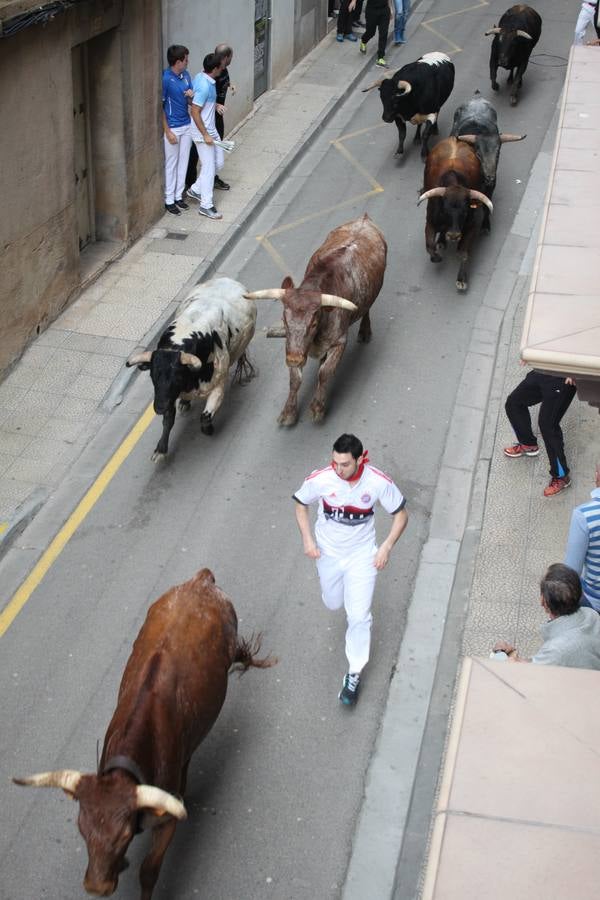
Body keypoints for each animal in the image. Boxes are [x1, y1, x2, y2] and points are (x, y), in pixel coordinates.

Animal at [12, 568, 274, 900]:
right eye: (82, 827)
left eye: (124, 834)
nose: (96, 887)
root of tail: (200, 580)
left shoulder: (167, 822)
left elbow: (149, 870)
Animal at [125, 276, 256, 460]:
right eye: (152, 376)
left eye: (177, 376)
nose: (159, 407)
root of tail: (228, 280)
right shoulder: (168, 395)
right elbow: (168, 421)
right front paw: (161, 449)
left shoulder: (218, 385)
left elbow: (205, 417)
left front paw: (208, 429)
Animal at [245, 214, 390, 426]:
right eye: (284, 319)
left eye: (313, 323)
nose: (294, 359)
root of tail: (364, 219)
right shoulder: (296, 347)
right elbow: (295, 379)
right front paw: (289, 412)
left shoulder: (339, 342)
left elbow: (325, 373)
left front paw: (317, 408)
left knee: (367, 310)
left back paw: (365, 332)